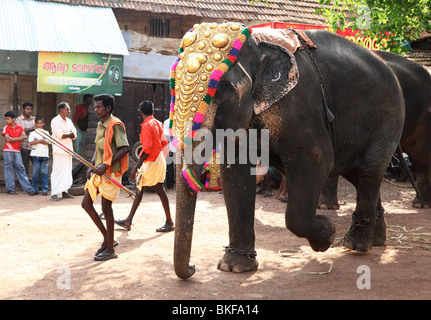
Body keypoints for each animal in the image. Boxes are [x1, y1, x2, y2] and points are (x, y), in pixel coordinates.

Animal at [169, 21, 404, 280]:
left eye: (223, 90)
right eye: (172, 85)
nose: (193, 268)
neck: (256, 43)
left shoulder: (299, 106)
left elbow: (317, 160)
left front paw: (326, 236)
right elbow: (235, 173)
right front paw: (234, 267)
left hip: (389, 119)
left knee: (369, 170)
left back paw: (355, 245)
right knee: (361, 175)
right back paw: (376, 241)